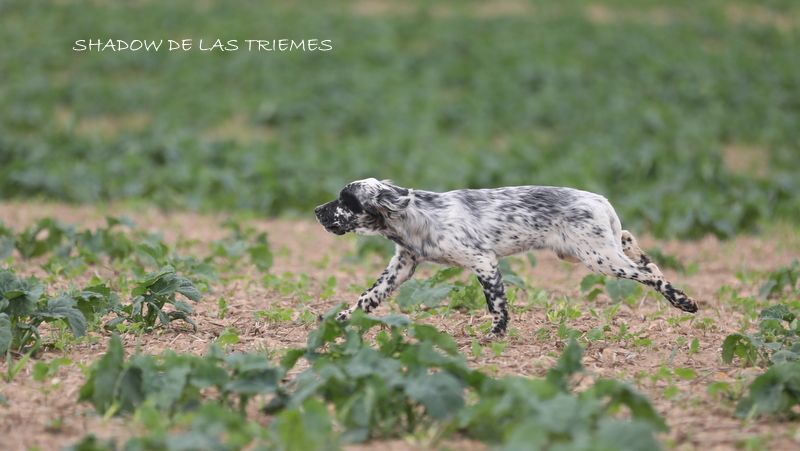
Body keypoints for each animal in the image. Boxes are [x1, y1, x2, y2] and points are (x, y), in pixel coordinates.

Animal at [316, 178, 696, 338]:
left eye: (346, 200)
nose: (317, 210)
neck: (414, 215)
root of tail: (600, 199)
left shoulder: (482, 261)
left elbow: (496, 304)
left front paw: (496, 334)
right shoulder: (402, 265)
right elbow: (368, 297)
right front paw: (340, 318)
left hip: (599, 258)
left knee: (650, 274)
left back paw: (685, 302)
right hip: (594, 250)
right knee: (642, 254)